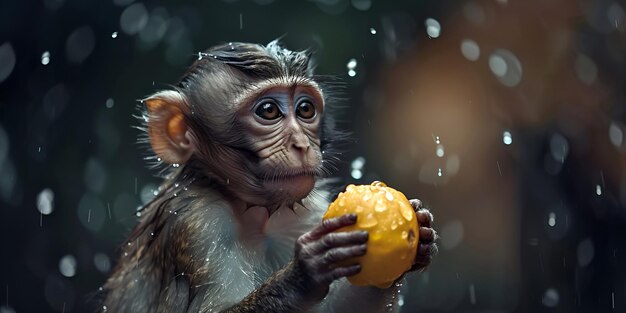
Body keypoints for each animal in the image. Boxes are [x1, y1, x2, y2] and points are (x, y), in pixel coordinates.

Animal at [101, 40, 434, 310]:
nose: (302, 144)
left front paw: (420, 229)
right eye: (269, 111)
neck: (252, 213)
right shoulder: (196, 223)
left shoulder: (306, 214)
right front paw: (303, 275)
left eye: (305, 109)